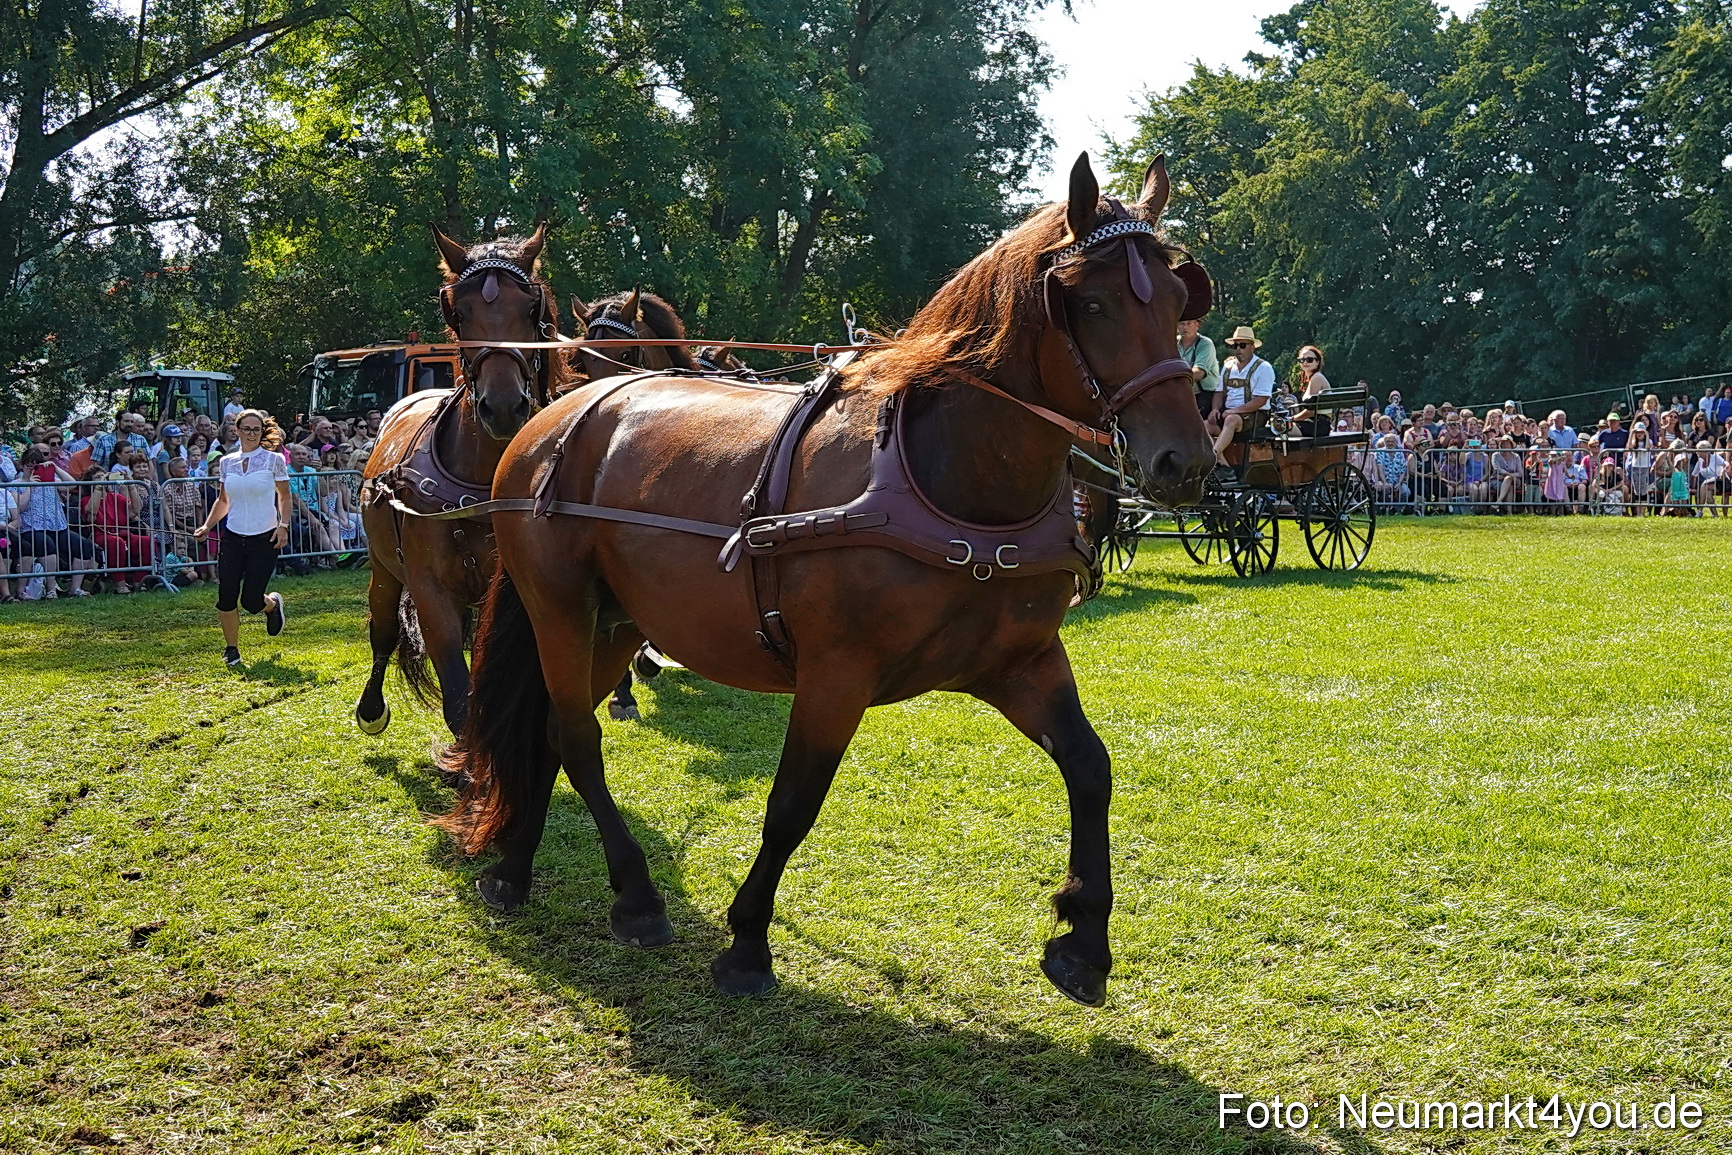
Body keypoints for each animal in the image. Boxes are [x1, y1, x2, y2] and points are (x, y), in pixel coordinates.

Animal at [352, 224, 570, 737]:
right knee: (382, 631)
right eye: (461, 312)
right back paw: (371, 708)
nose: (504, 406)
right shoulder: (432, 594)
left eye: (530, 309)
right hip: (383, 569)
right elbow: (460, 701)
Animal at [435, 153, 1216, 1006]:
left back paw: (515, 869)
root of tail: (551, 418)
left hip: (618, 622)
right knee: (578, 737)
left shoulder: (1021, 663)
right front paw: (747, 942)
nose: (1184, 460)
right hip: (561, 611)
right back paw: (633, 892)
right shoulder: (836, 673)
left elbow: (1091, 767)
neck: (948, 477)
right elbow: (792, 804)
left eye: (1177, 299)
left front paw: (1085, 937)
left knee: (548, 732)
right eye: (1094, 301)